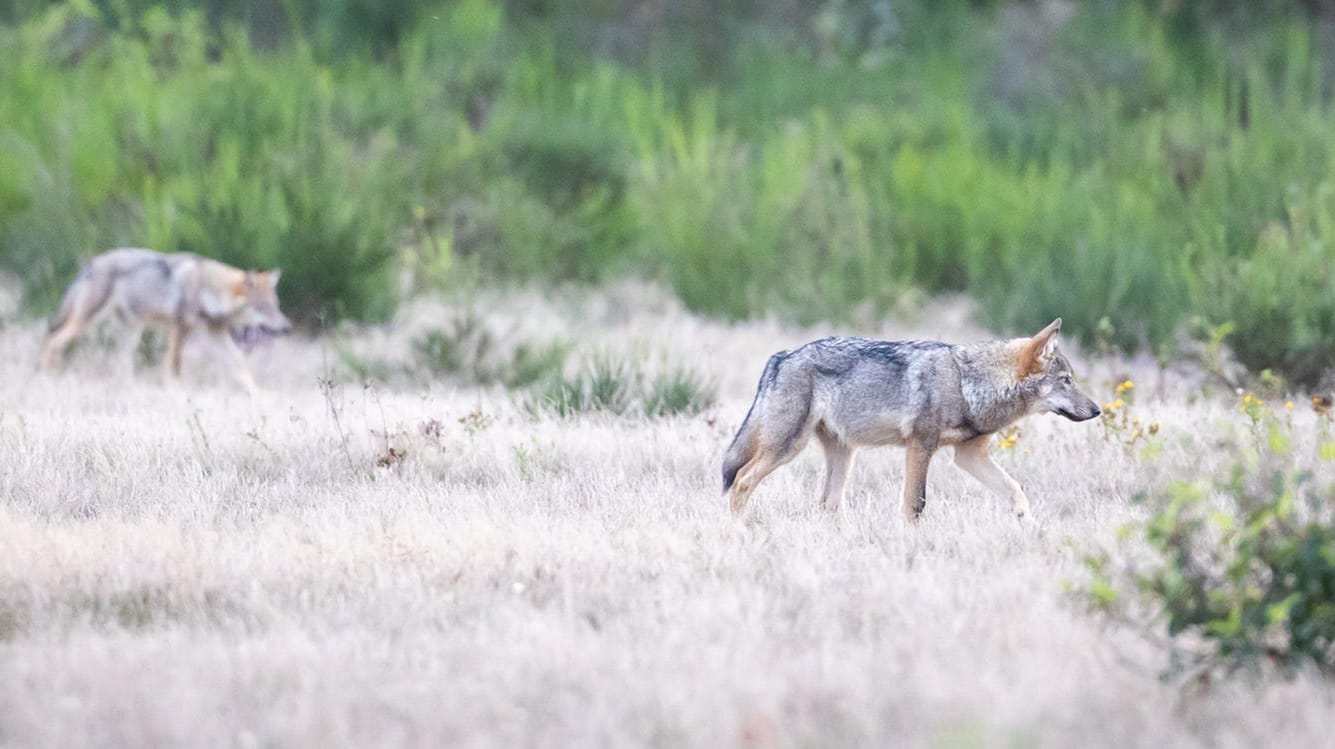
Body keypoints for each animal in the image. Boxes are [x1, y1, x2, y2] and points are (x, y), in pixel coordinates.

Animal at [39, 249, 292, 395]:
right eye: (263, 308)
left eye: (276, 306)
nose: (287, 328)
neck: (207, 287)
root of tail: (92, 263)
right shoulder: (180, 328)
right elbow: (175, 365)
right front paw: (176, 393)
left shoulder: (215, 333)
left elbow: (239, 365)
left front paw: (258, 394)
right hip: (87, 322)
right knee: (54, 341)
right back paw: (48, 380)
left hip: (132, 332)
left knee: (120, 364)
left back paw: (131, 390)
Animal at [726, 317, 1100, 523]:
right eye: (1066, 381)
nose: (1097, 410)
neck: (967, 383)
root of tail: (782, 356)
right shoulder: (921, 446)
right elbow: (915, 505)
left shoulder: (969, 455)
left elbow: (1016, 491)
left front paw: (1031, 529)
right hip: (788, 447)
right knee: (741, 480)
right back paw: (738, 531)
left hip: (843, 455)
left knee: (827, 504)